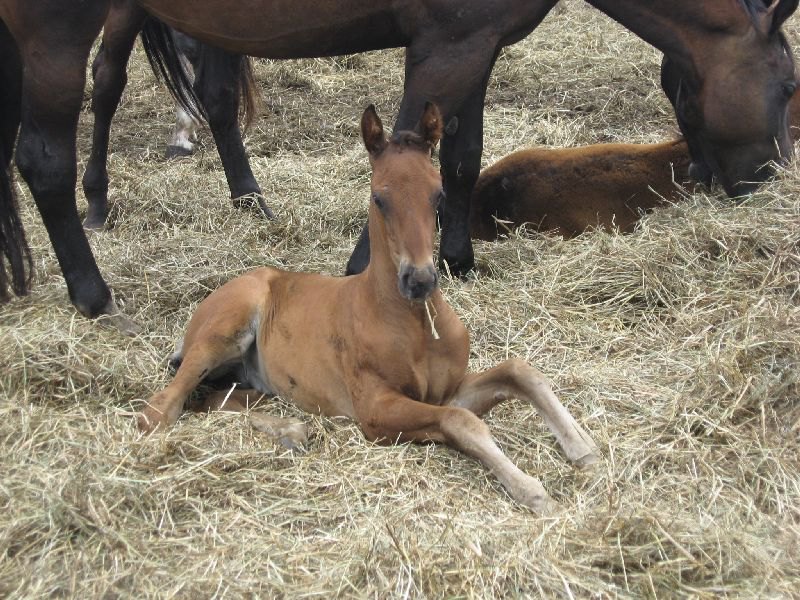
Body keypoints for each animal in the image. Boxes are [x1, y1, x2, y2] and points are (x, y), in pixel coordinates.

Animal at [0, 0, 792, 332]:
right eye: (788, 87)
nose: (770, 184)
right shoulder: (449, 45)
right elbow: (404, 158)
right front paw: (367, 278)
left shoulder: (477, 44)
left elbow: (462, 158)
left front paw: (461, 258)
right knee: (52, 146)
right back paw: (94, 287)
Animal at [139, 102, 600, 510]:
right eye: (380, 198)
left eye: (438, 196)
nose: (419, 280)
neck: (415, 323)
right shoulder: (376, 410)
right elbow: (462, 421)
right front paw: (532, 490)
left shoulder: (446, 391)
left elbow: (518, 371)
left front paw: (583, 447)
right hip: (224, 332)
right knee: (161, 409)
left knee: (209, 401)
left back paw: (292, 428)